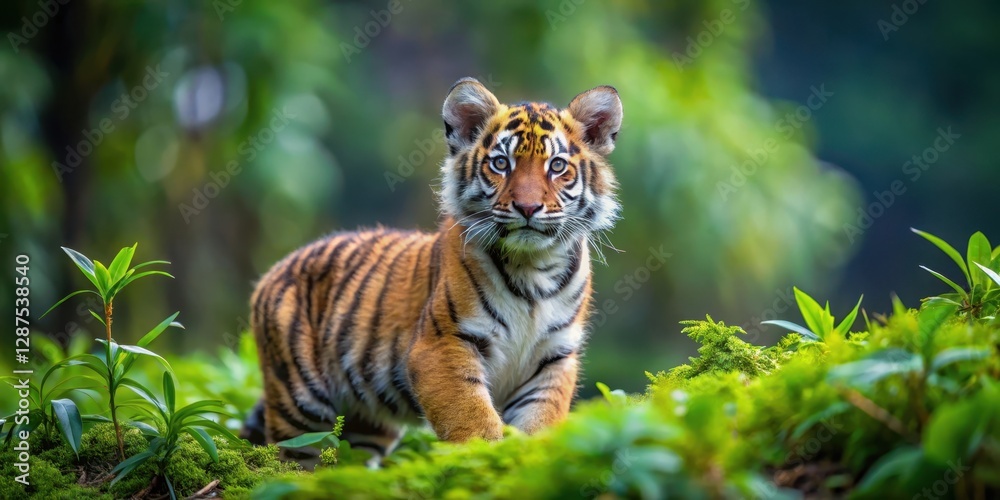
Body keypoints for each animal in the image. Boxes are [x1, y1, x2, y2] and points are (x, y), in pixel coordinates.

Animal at [241, 77, 624, 464]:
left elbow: (539, 424)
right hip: (300, 404)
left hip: (366, 425)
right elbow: (472, 422)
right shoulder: (442, 345)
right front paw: (480, 463)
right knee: (292, 459)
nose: (528, 208)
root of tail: (272, 272)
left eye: (557, 166)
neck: (534, 268)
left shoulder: (554, 358)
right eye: (501, 163)